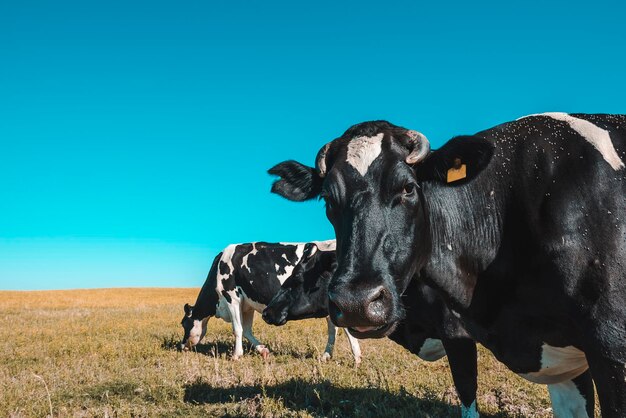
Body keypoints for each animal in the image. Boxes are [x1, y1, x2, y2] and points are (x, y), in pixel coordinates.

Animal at [178, 240, 358, 364]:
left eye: (183, 323)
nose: (181, 345)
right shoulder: (247, 305)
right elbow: (247, 330)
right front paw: (263, 350)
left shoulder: (231, 298)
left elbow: (237, 329)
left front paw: (236, 355)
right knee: (333, 329)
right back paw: (326, 356)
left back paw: (356, 358)